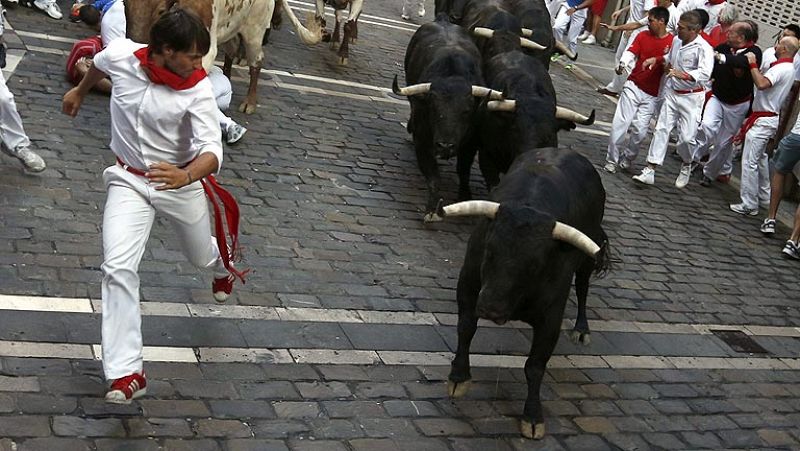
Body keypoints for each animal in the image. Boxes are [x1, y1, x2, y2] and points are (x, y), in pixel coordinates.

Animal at [440, 149, 608, 442]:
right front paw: (458, 378)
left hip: (589, 258)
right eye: (490, 250)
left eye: (534, 264)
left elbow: (535, 366)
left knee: (583, 287)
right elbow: (465, 329)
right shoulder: (469, 288)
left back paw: (581, 329)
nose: (491, 308)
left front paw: (532, 417)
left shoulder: (551, 318)